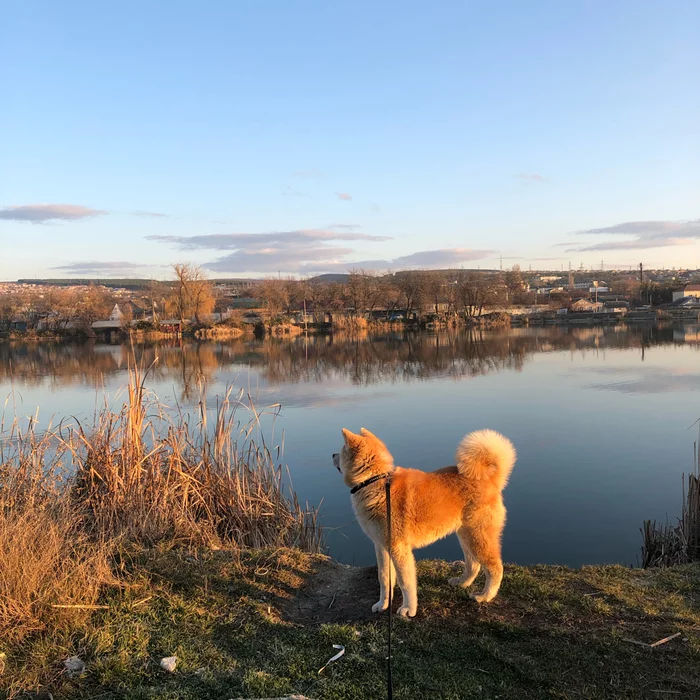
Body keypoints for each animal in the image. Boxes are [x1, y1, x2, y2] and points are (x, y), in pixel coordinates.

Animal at [330, 426, 516, 616]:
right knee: (474, 564)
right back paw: (462, 582)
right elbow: (384, 578)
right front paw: (383, 604)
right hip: (466, 535)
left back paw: (486, 595)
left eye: (342, 450)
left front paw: (408, 609)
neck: (375, 483)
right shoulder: (381, 546)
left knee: (495, 568)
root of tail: (489, 479)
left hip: (477, 536)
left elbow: (405, 583)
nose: (332, 454)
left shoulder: (398, 549)